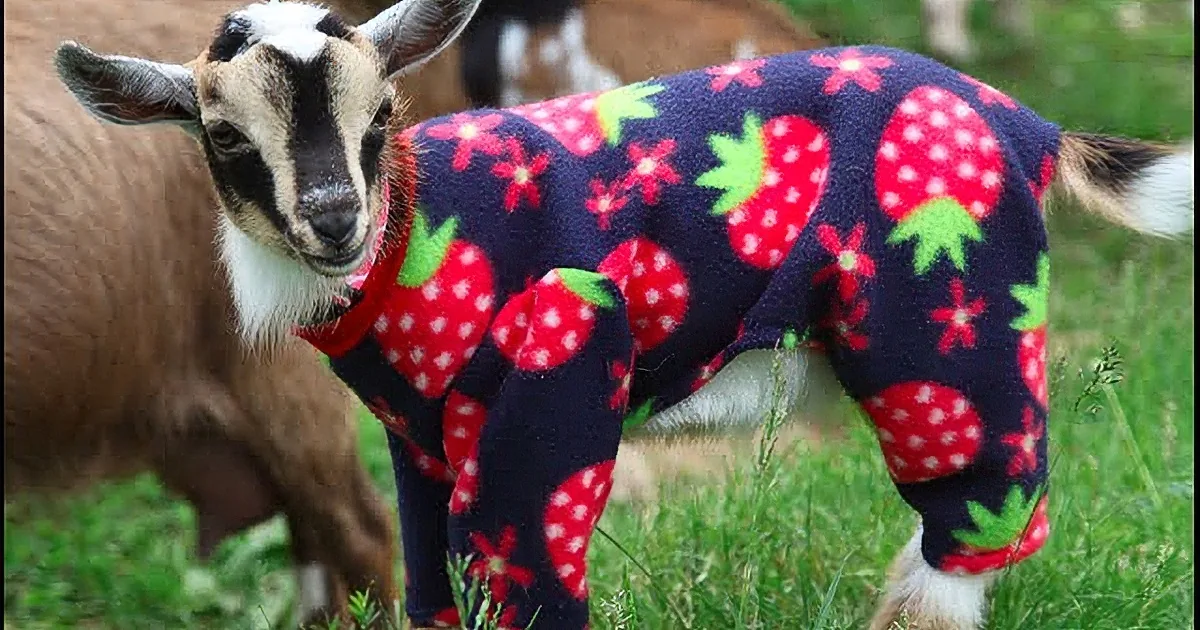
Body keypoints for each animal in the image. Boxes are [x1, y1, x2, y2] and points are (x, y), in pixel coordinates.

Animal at [51, 1, 1194, 628]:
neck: (419, 222)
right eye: (224, 137)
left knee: (970, 528)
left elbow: (525, 581)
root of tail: (1025, 122)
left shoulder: (551, 389)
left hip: (946, 331)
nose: (334, 219)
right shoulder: (423, 445)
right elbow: (435, 584)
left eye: (381, 116)